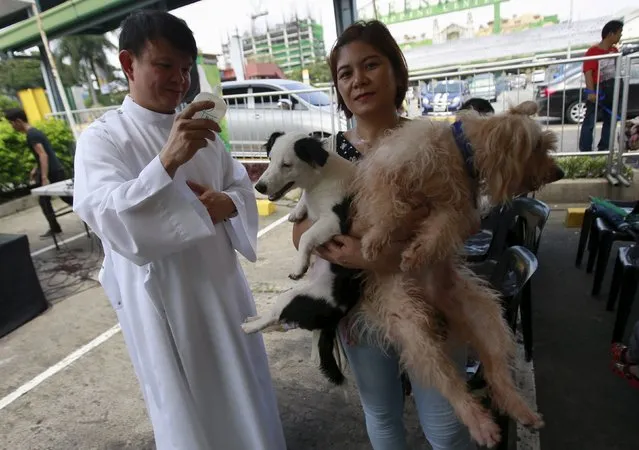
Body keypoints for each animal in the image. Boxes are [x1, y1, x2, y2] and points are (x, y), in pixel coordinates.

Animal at [244, 130, 364, 384]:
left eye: (287, 165)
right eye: (269, 159)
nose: (259, 186)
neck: (320, 182)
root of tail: (333, 319)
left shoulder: (334, 221)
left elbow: (307, 236)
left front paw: (300, 266)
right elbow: (303, 206)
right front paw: (297, 211)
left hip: (293, 297)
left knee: (275, 317)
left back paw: (249, 327)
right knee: (274, 316)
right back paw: (251, 319)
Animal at [348, 100, 564, 448]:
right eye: (539, 146)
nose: (560, 173)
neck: (457, 152)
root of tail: (436, 304)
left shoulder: (459, 209)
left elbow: (443, 225)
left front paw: (419, 252)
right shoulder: (388, 172)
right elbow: (389, 207)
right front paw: (376, 239)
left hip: (485, 316)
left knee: (494, 372)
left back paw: (511, 412)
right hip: (411, 326)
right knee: (450, 382)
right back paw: (482, 421)